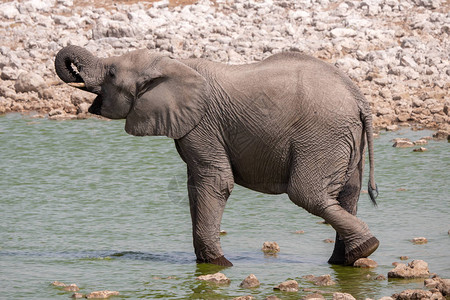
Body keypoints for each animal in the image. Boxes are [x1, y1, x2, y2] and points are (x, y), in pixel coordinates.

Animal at [55, 45, 380, 268]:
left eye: (111, 74)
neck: (174, 63)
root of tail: (359, 97)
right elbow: (195, 187)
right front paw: (206, 264)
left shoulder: (203, 124)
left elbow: (216, 182)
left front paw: (218, 264)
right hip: (343, 139)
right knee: (348, 194)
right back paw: (346, 261)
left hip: (322, 136)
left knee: (307, 193)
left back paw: (368, 247)